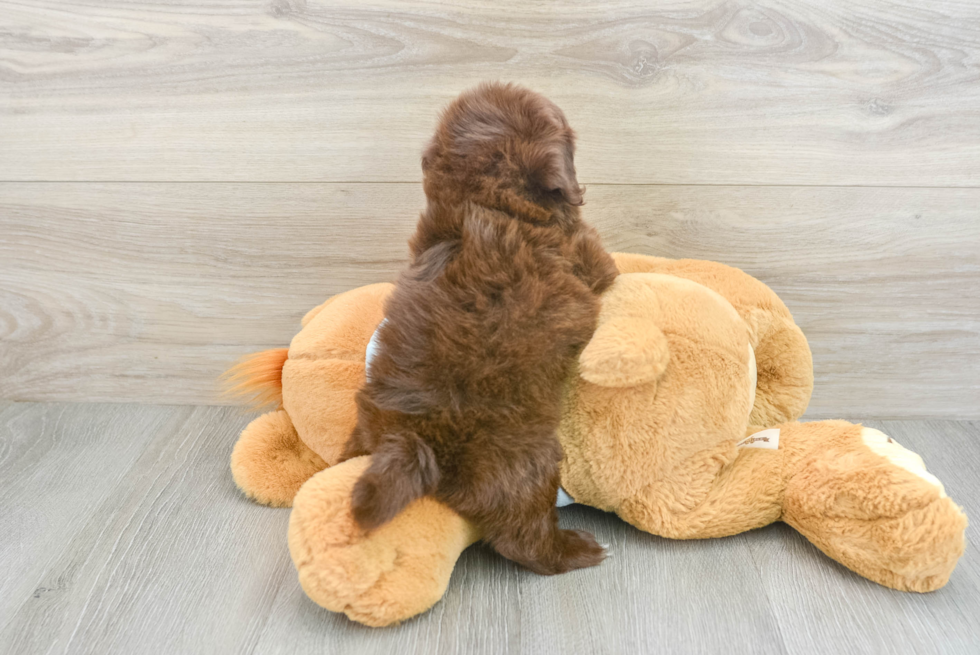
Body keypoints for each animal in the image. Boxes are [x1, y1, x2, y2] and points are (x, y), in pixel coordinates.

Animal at [344, 80, 616, 576]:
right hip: (527, 461)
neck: (484, 200)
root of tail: (416, 437)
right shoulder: (589, 257)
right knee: (523, 539)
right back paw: (580, 548)